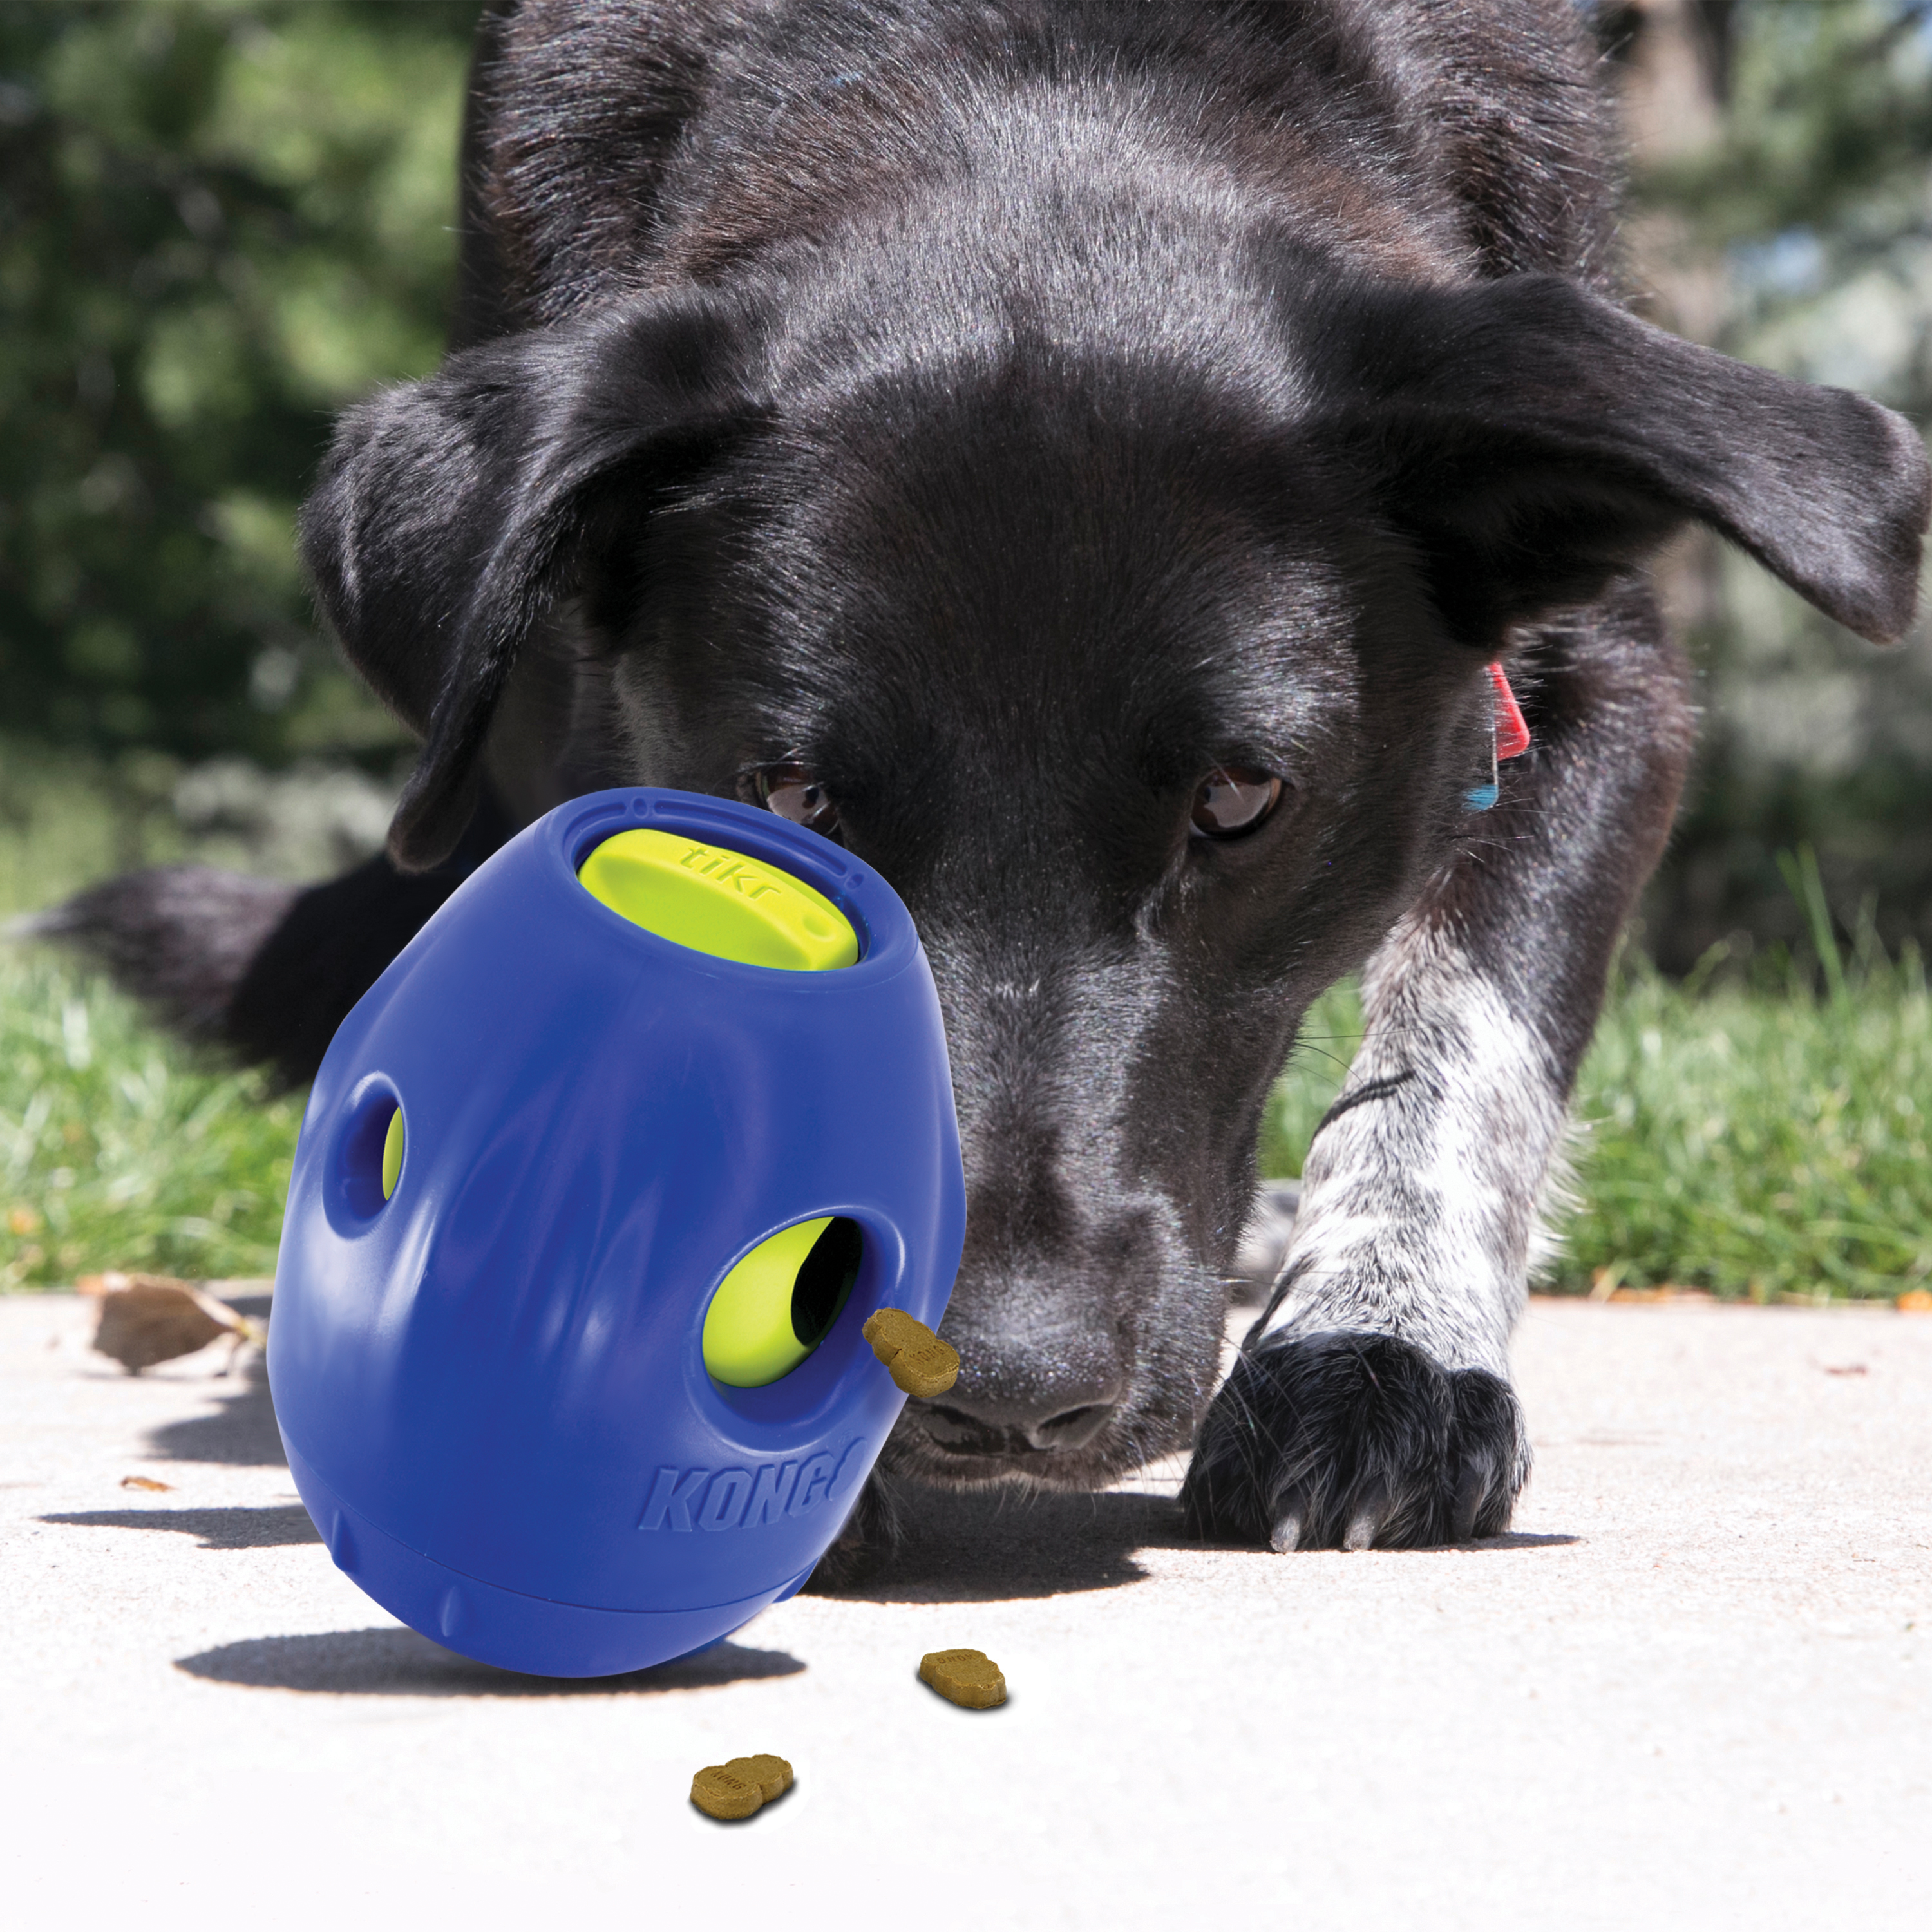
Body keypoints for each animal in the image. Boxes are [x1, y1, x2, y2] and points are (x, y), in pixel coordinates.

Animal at [53, 0, 1924, 1569]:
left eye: (1240, 798)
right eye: (792, 800)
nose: (1007, 1389)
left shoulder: (1597, 685)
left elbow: (1464, 1052)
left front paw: (1371, 1356)